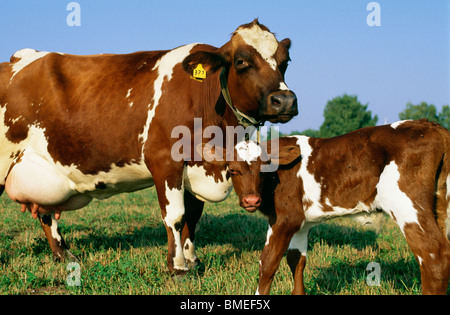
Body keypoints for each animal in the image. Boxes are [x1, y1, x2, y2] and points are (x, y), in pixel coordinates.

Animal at [0, 19, 298, 274]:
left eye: (285, 61)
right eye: (241, 61)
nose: (284, 100)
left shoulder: (198, 165)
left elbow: (193, 216)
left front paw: (192, 260)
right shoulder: (164, 161)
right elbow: (175, 216)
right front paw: (177, 267)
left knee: (46, 214)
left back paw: (65, 256)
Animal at [225, 121, 450, 296]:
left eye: (263, 169)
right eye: (233, 170)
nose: (251, 200)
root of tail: (432, 126)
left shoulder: (285, 218)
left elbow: (268, 262)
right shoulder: (302, 223)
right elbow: (296, 259)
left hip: (408, 206)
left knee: (434, 255)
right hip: (440, 207)